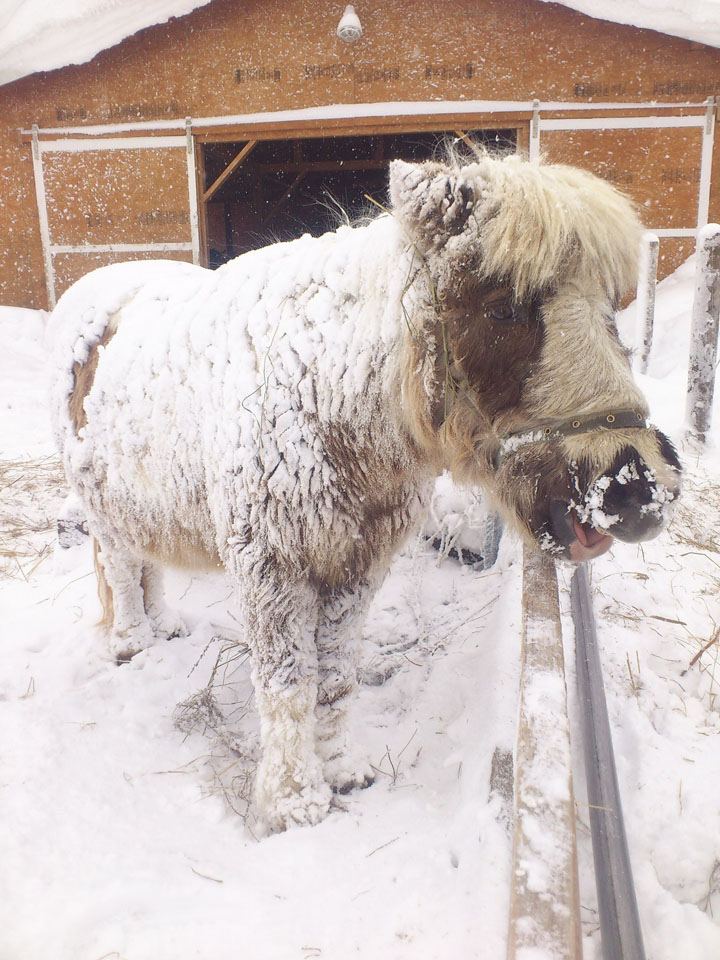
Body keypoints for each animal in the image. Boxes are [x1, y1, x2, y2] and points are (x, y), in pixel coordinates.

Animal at [49, 152, 680, 832]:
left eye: (610, 306)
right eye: (501, 308)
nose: (635, 491)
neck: (327, 392)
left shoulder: (357, 566)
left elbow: (334, 679)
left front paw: (342, 773)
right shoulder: (271, 570)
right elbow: (287, 684)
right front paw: (294, 803)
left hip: (147, 506)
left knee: (147, 566)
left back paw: (163, 626)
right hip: (103, 511)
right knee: (120, 570)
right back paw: (132, 642)